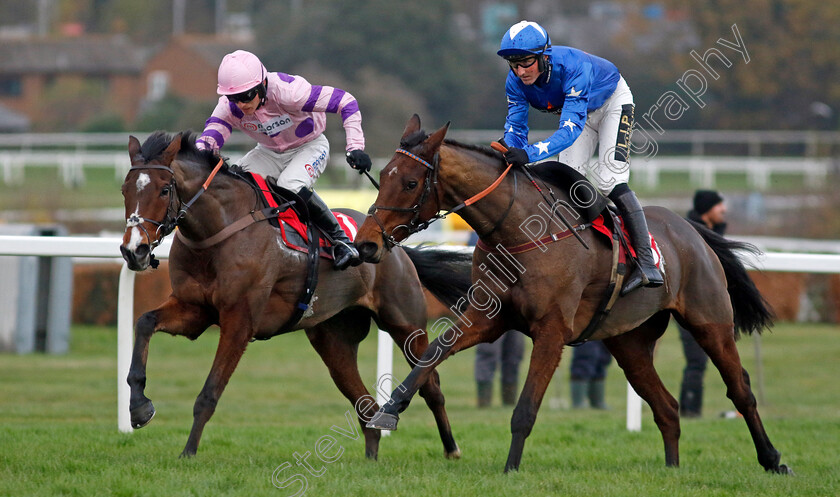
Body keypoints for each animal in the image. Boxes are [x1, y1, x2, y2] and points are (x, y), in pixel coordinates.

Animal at [120, 130, 470, 460]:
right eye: (125, 190)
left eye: (164, 190)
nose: (134, 250)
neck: (217, 232)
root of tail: (388, 244)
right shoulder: (195, 309)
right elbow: (144, 322)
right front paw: (139, 407)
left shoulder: (239, 321)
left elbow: (209, 392)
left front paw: (188, 452)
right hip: (333, 340)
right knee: (365, 406)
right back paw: (372, 457)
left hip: (405, 323)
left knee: (430, 384)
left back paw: (451, 448)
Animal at [356, 115, 796, 472]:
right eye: (382, 174)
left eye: (410, 182)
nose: (367, 244)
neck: (519, 231)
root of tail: (692, 230)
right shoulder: (488, 318)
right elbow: (432, 353)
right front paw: (389, 411)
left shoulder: (551, 330)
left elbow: (525, 409)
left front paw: (510, 469)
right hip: (630, 342)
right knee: (667, 408)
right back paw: (673, 469)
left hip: (711, 322)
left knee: (741, 390)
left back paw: (773, 460)